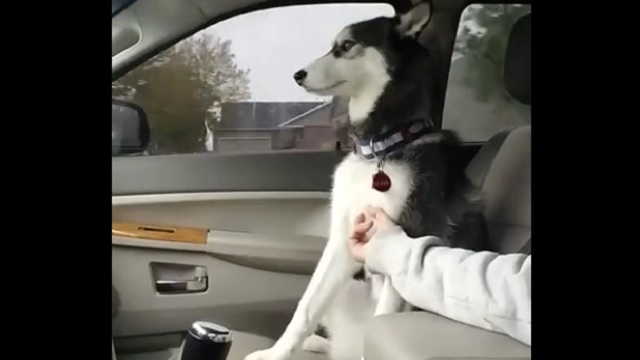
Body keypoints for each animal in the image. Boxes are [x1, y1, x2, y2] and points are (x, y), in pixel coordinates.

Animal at [245, 2, 484, 360]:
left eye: (346, 46)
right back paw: (318, 343)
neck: (381, 150)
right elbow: (305, 308)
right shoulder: (342, 240)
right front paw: (275, 353)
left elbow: (385, 315)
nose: (298, 75)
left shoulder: (402, 241)